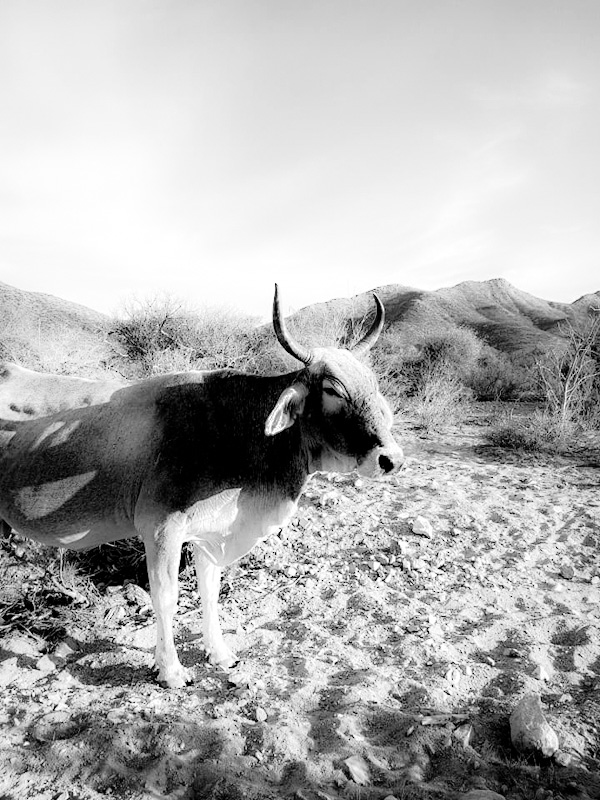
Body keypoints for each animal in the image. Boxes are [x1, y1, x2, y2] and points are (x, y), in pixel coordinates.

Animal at [0, 286, 404, 688]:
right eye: (334, 390)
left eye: (373, 386)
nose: (392, 459)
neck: (234, 427)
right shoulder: (161, 530)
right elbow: (166, 598)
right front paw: (171, 669)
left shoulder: (209, 533)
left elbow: (209, 592)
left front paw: (219, 653)